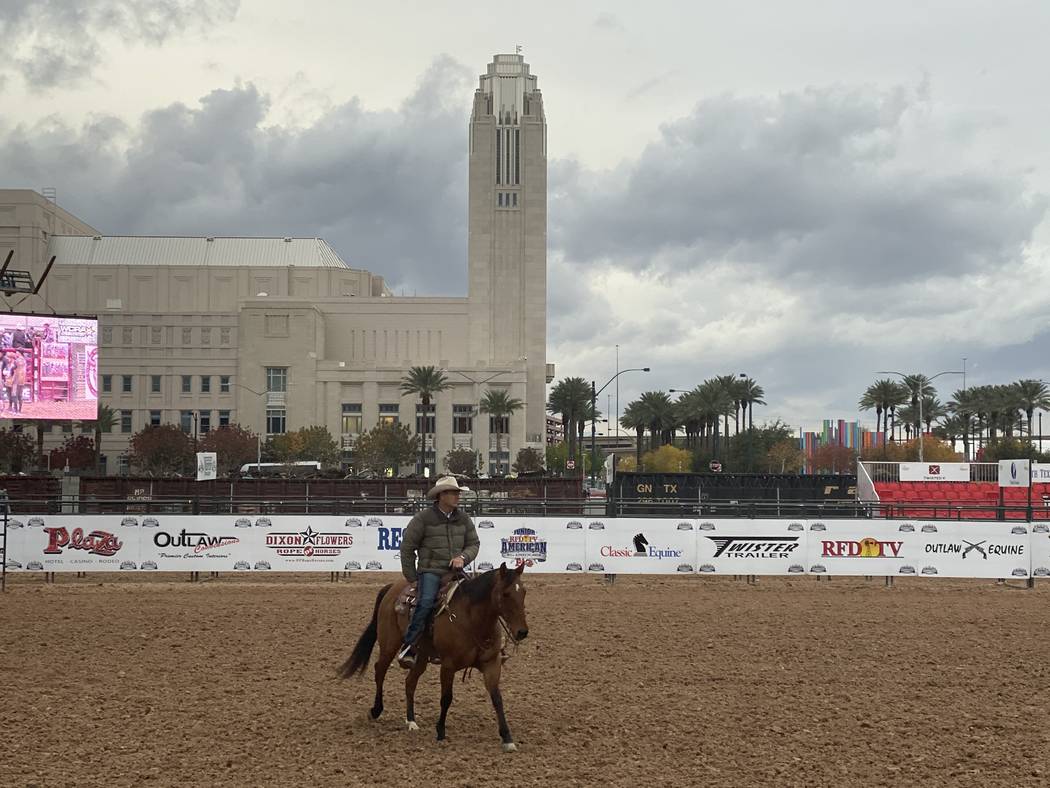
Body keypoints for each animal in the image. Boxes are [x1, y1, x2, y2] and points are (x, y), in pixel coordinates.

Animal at [340, 563, 529, 752]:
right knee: (380, 670)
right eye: (505, 593)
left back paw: (411, 721)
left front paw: (507, 738)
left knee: (410, 682)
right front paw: (440, 731)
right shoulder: (448, 665)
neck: (472, 619)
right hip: (389, 644)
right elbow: (446, 698)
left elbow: (497, 698)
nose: (522, 632)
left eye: (524, 591)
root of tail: (392, 587)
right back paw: (376, 710)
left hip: (422, 656)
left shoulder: (491, 664)